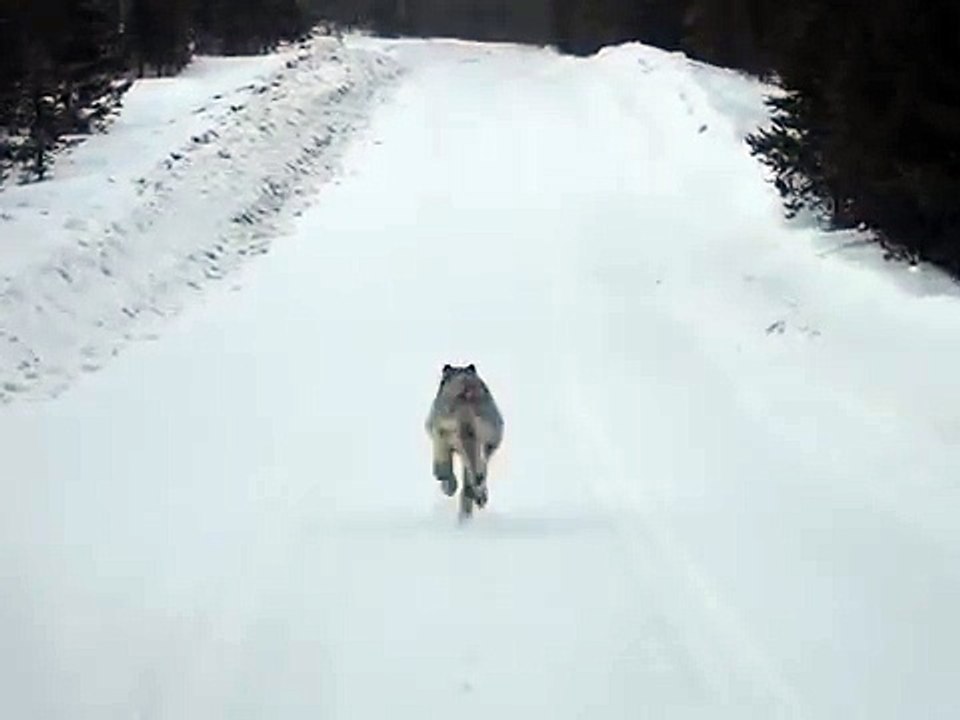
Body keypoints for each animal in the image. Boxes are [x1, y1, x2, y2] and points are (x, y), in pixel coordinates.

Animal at [425, 363, 504, 519]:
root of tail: (466, 392)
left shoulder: (438, 434)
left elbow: (441, 467)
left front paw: (448, 486)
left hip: (444, 432)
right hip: (489, 440)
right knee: (478, 474)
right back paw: (476, 498)